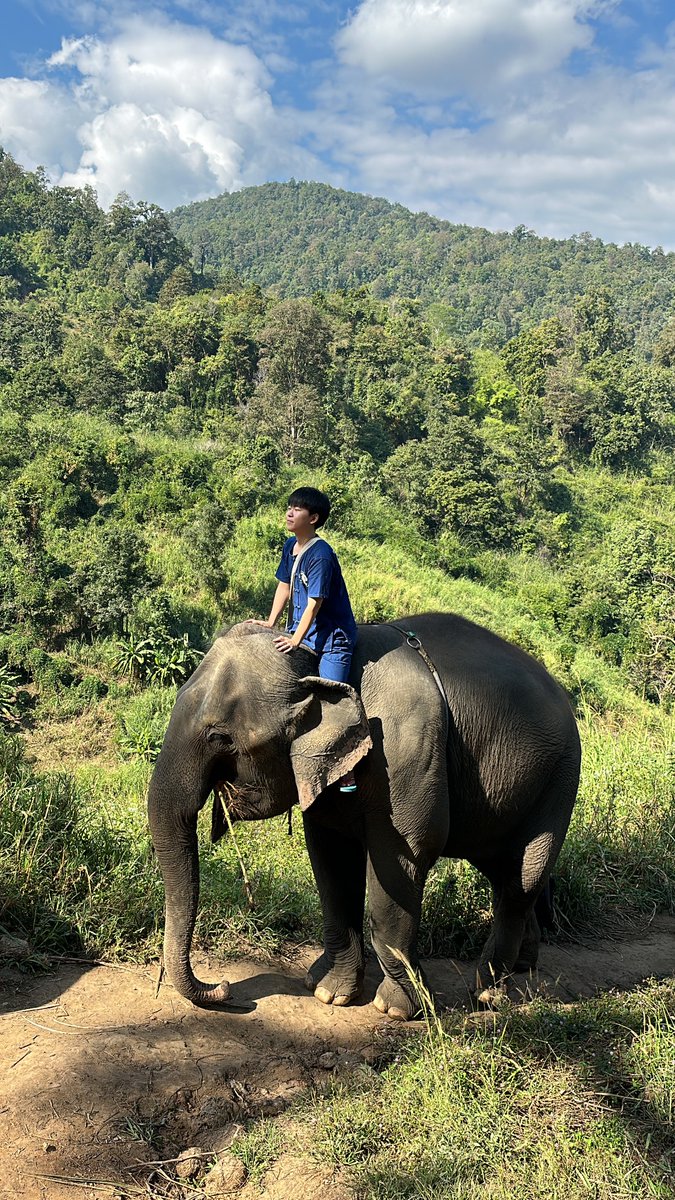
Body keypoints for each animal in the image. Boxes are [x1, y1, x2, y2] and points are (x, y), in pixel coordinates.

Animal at [147, 613, 581, 1019]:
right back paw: (524, 966)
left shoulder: (407, 752)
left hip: (561, 779)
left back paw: (489, 992)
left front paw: (398, 1009)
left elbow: (400, 861)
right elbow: (332, 859)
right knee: (504, 872)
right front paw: (328, 991)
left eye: (220, 737)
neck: (319, 661)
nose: (223, 988)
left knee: (521, 877)